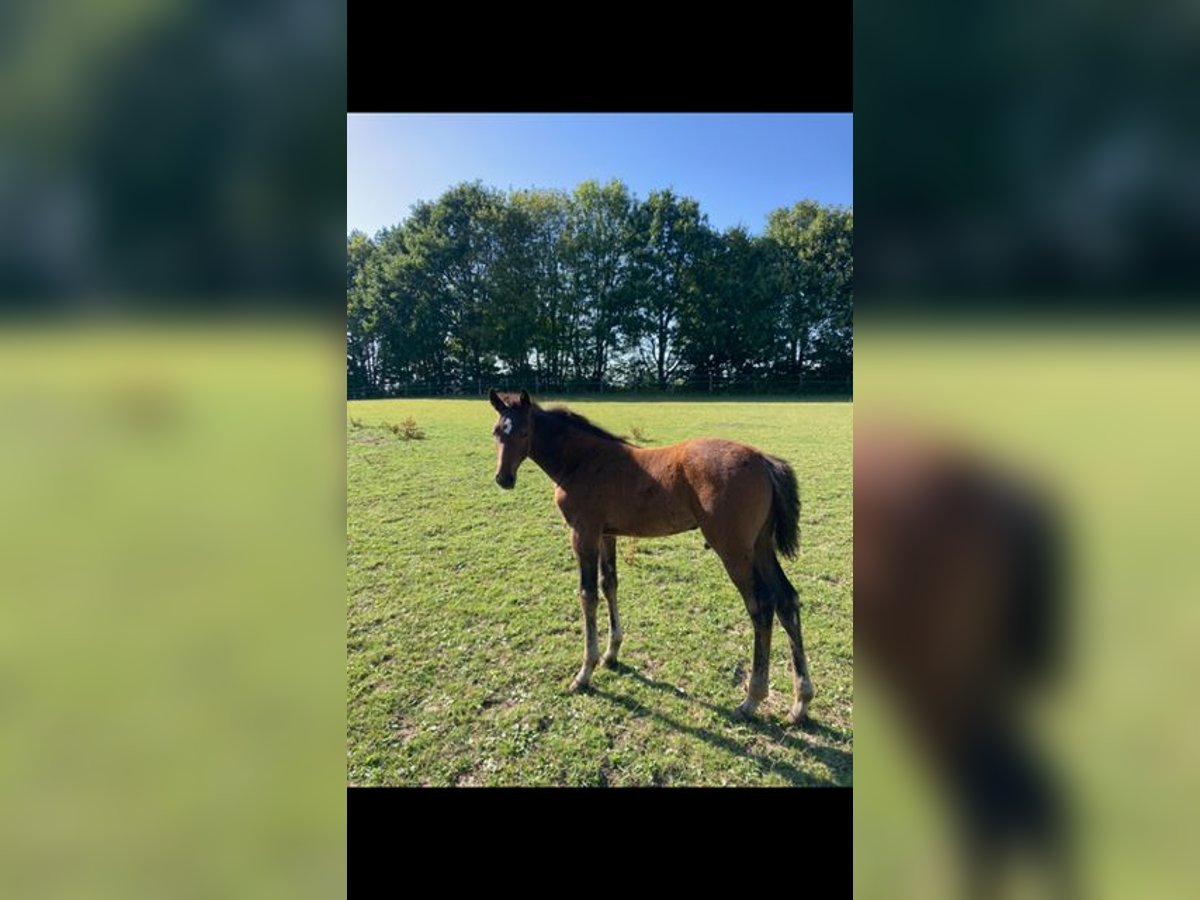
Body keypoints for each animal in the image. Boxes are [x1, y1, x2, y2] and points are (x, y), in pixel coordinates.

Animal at [487, 388, 816, 724]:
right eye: (497, 432)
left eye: (524, 432)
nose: (504, 478)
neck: (581, 461)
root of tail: (764, 460)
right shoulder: (607, 534)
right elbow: (609, 584)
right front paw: (611, 654)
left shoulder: (583, 534)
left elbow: (587, 595)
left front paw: (584, 673)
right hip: (760, 546)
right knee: (787, 600)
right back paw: (800, 702)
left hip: (734, 550)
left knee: (761, 607)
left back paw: (751, 700)